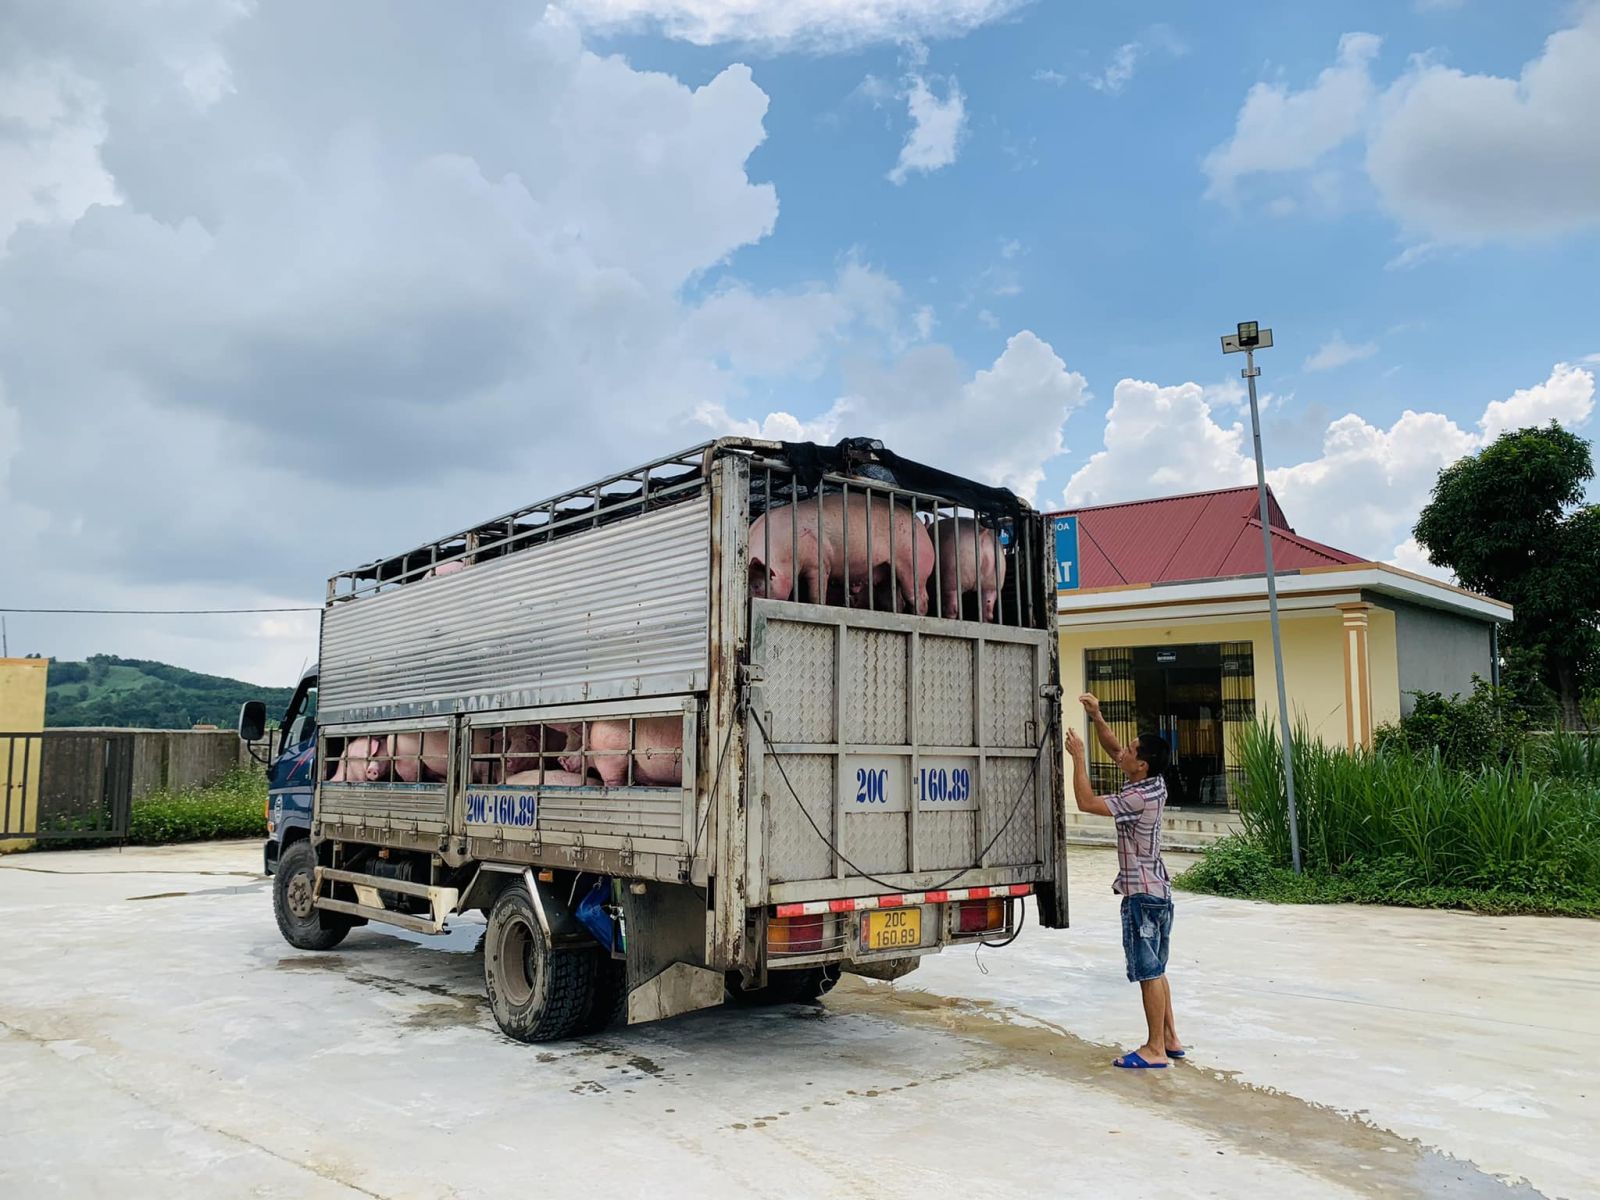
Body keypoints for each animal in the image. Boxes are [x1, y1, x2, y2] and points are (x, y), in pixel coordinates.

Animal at [748, 492, 934, 614]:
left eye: (757, 585)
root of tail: (921, 525)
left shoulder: (819, 562)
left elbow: (816, 593)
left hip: (914, 563)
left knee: (921, 598)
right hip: (887, 573)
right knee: (893, 600)